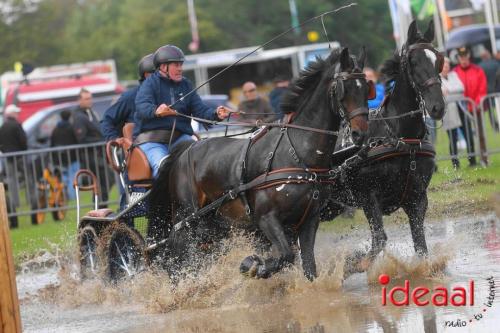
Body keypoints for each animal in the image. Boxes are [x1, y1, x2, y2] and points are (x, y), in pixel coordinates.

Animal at [148, 46, 372, 278]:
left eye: (366, 89)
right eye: (343, 89)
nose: (361, 133)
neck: (297, 152)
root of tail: (184, 151)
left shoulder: (310, 219)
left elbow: (309, 266)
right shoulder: (266, 218)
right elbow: (285, 256)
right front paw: (253, 265)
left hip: (215, 224)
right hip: (187, 221)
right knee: (179, 258)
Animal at [324, 20, 446, 274]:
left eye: (438, 60)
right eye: (413, 62)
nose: (437, 107)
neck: (399, 136)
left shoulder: (417, 198)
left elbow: (420, 244)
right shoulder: (369, 197)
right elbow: (379, 240)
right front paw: (352, 263)